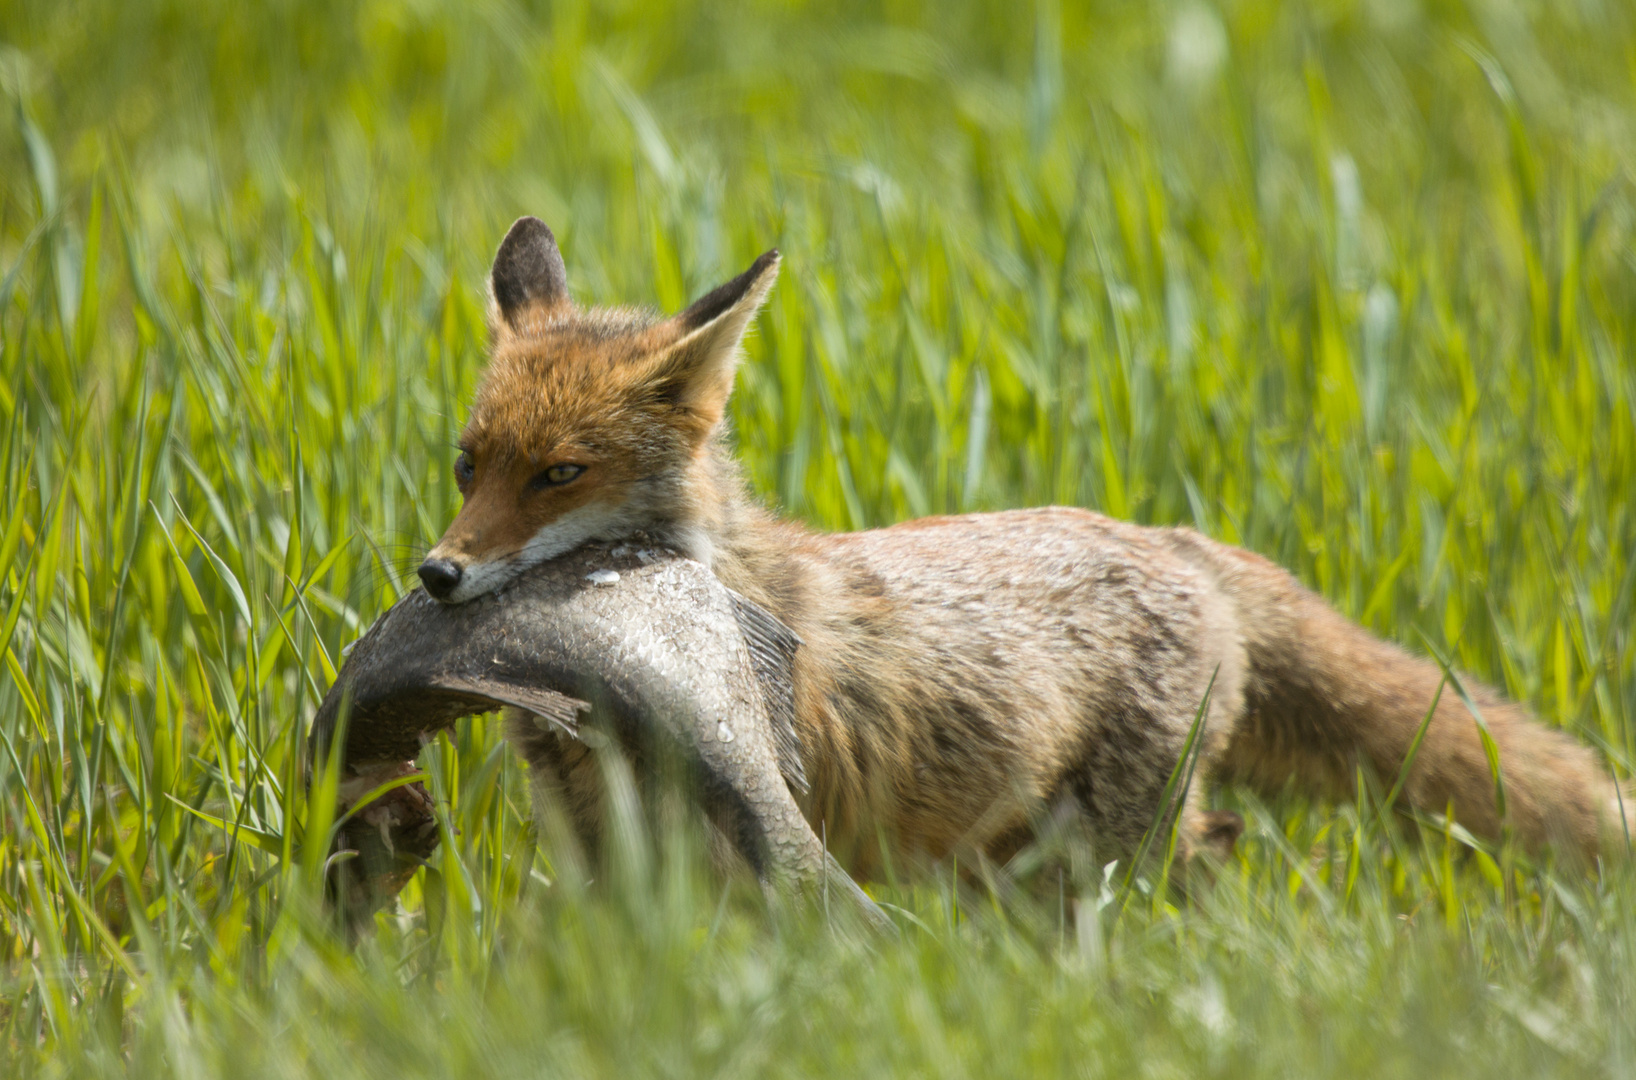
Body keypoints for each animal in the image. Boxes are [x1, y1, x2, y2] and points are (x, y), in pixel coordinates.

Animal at [418, 217, 1622, 877]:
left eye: (560, 474)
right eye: (469, 465)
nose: (438, 572)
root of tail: (1174, 541)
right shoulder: (602, 861)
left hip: (1105, 844)